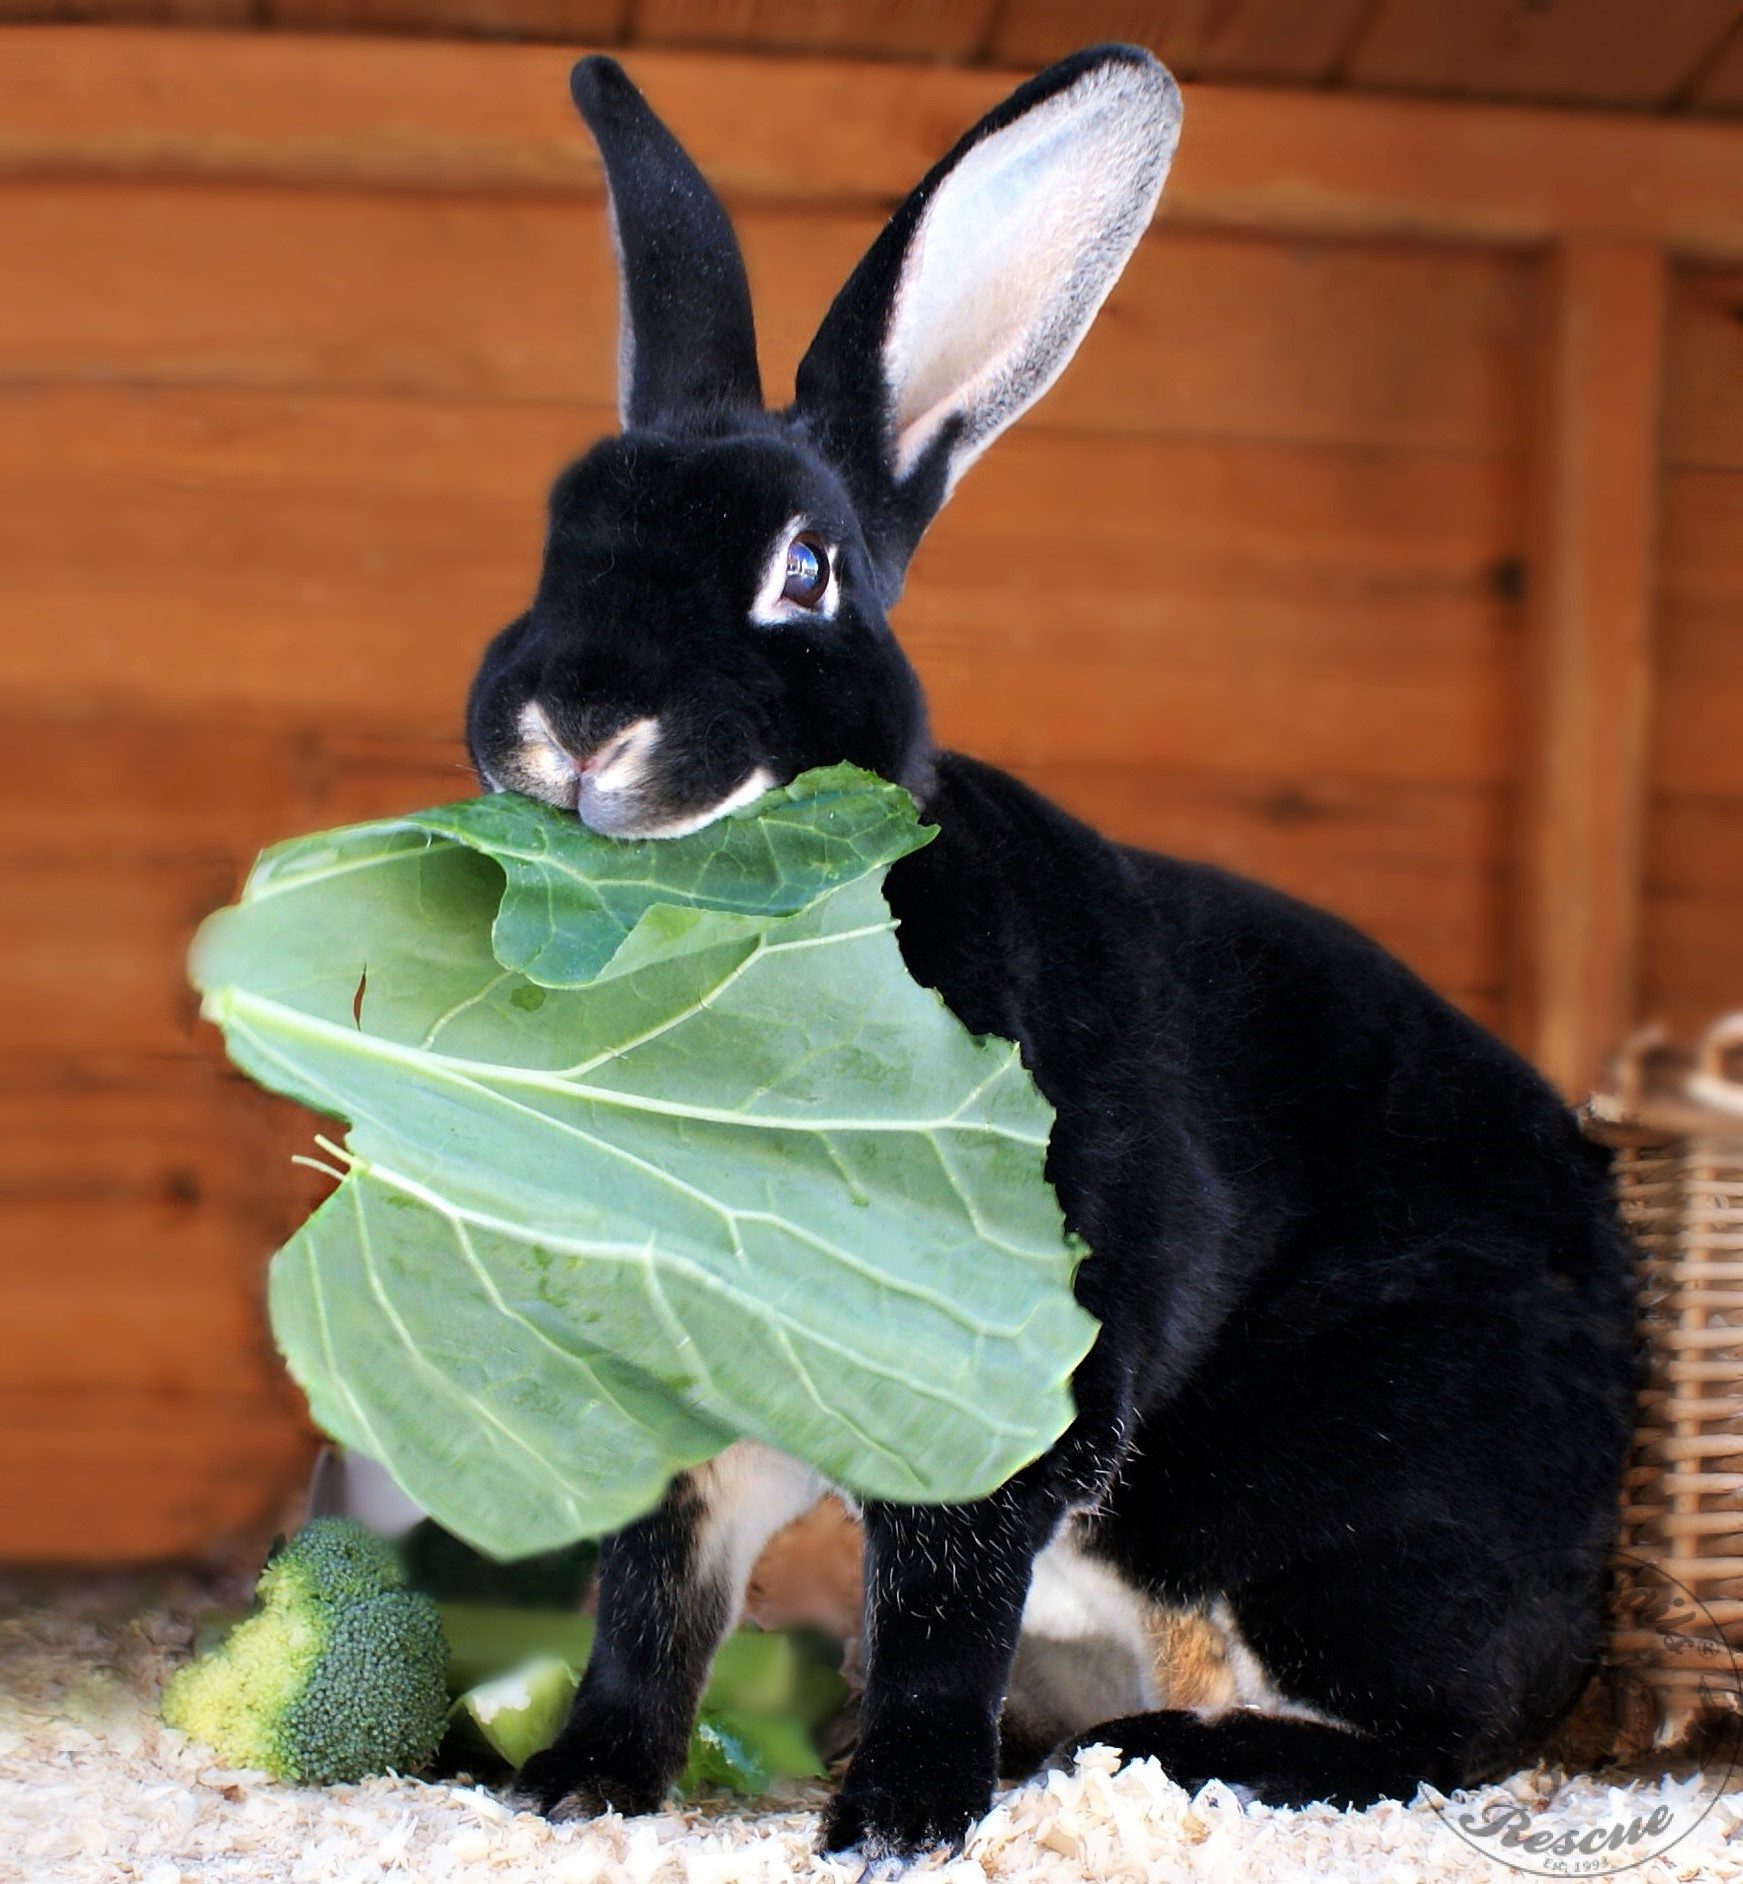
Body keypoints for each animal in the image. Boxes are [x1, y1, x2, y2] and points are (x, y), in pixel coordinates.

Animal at [469, 47, 1635, 1868]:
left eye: (802, 570)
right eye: (558, 526)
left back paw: (1143, 1759)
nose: (580, 717)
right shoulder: (680, 1410)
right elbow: (650, 1607)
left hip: (1318, 1495)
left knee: (1426, 1741)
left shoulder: (1021, 1374)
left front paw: (896, 1817)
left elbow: (941, 1597)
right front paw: (580, 1783)